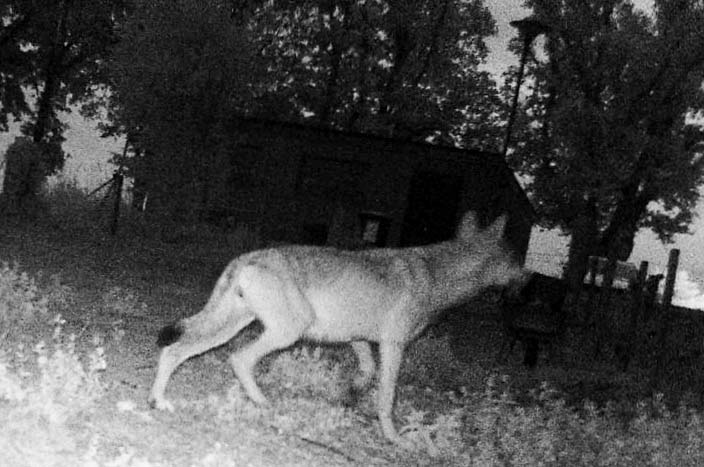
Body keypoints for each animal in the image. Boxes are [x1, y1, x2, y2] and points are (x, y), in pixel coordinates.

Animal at [148, 211, 527, 444]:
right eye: (515, 258)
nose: (529, 277)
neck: (436, 275)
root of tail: (248, 257)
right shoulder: (394, 345)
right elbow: (387, 397)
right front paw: (394, 439)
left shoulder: (358, 339)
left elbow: (366, 373)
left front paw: (350, 394)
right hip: (286, 331)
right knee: (238, 360)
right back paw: (264, 404)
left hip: (230, 327)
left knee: (174, 350)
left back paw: (158, 401)